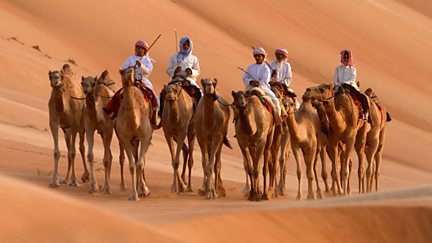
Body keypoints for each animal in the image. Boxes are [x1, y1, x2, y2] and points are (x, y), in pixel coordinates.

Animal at [114, 66, 153, 199]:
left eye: (133, 69)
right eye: (122, 71)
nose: (130, 70)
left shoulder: (146, 136)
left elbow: (141, 164)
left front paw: (145, 190)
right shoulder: (125, 138)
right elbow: (132, 166)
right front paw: (134, 194)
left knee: (140, 161)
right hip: (129, 140)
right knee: (132, 159)